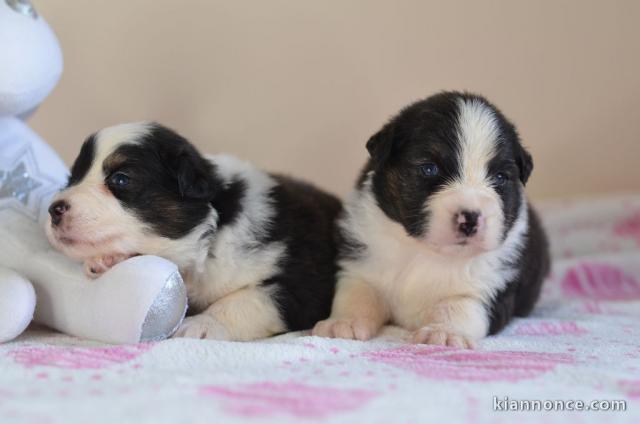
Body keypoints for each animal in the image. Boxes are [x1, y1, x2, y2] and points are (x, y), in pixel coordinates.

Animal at [45, 121, 342, 340]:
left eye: (120, 179)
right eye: (72, 178)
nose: (53, 210)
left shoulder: (303, 281)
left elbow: (245, 300)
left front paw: (201, 324)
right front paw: (107, 259)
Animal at [314, 92, 552, 348]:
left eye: (500, 177)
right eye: (429, 169)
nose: (470, 219)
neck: (425, 252)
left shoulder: (490, 288)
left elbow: (457, 307)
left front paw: (443, 332)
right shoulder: (362, 264)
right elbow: (356, 295)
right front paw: (343, 323)